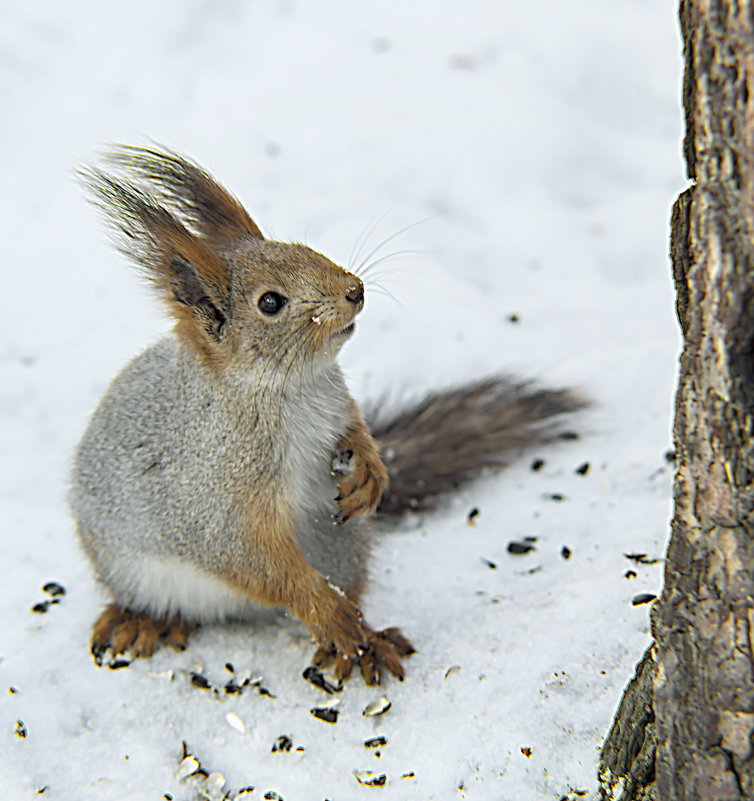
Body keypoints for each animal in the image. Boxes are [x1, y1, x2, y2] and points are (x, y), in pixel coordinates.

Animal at [69, 144, 580, 680]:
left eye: (304, 248)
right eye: (270, 302)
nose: (355, 289)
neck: (291, 389)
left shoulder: (338, 408)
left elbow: (359, 433)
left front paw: (370, 474)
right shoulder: (217, 494)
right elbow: (250, 558)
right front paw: (326, 612)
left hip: (340, 545)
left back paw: (365, 643)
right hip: (135, 569)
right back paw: (149, 620)